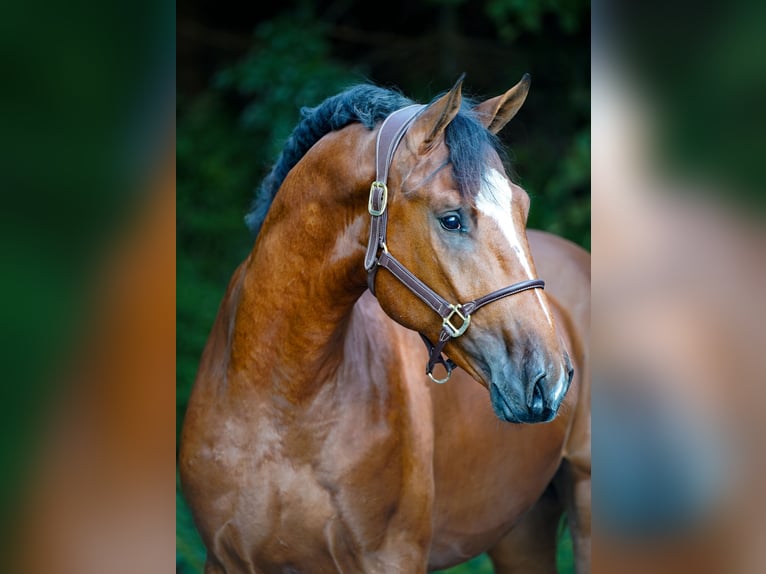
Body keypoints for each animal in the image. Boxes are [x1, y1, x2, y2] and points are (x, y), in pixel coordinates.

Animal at [180, 76, 592, 574]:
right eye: (451, 219)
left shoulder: (391, 558)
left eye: (523, 207)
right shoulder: (225, 560)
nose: (550, 378)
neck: (279, 399)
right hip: (521, 529)